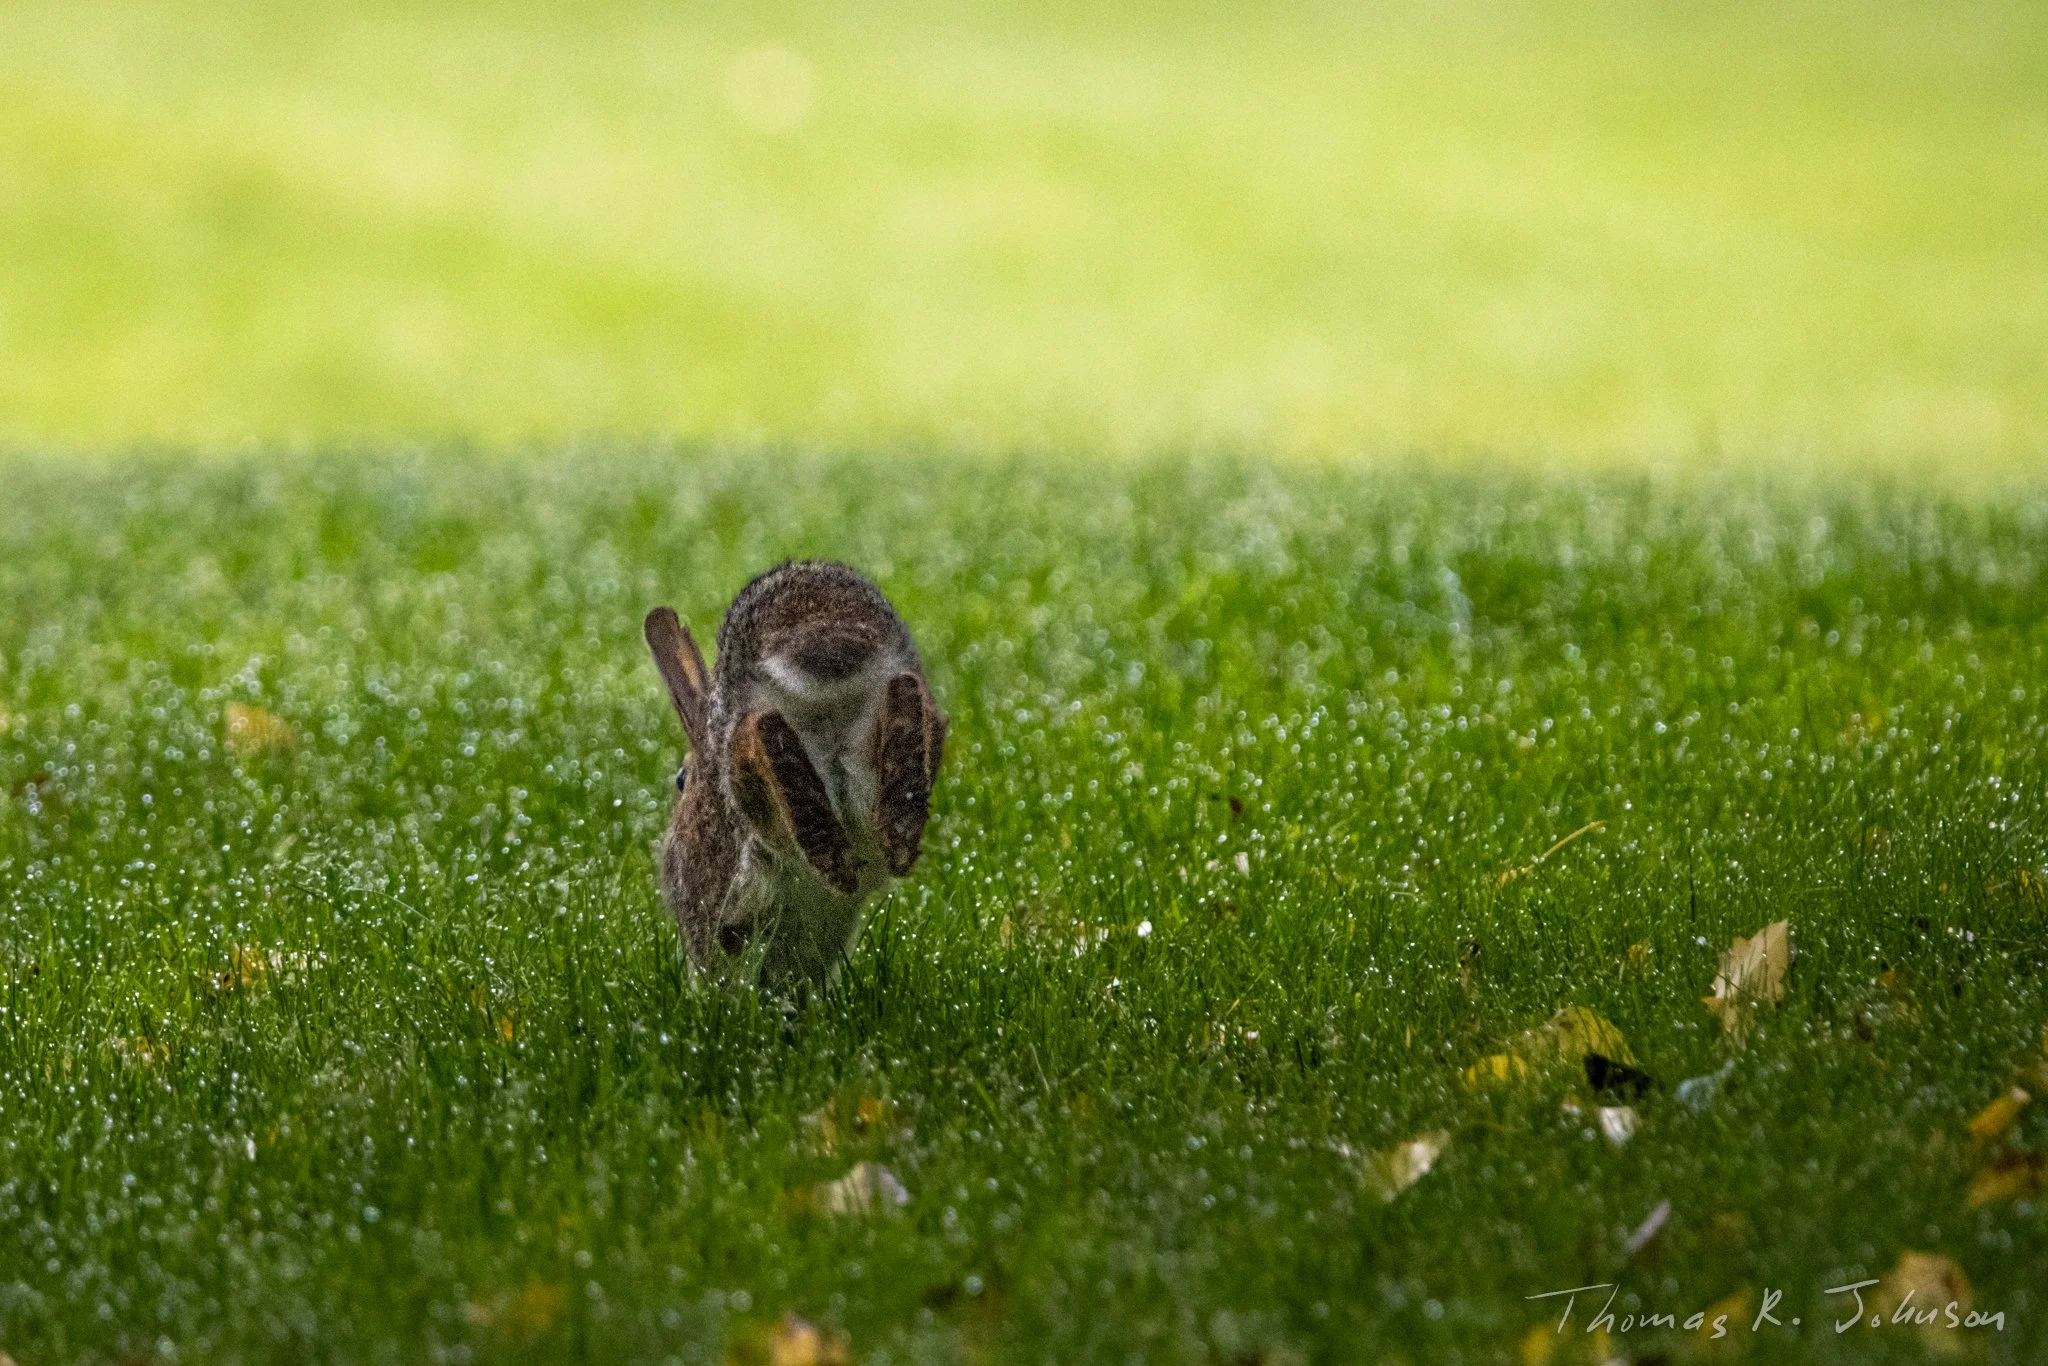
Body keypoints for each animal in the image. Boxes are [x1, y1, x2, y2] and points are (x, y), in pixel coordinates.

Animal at [643, 560, 947, 992]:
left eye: (680, 779)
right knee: (907, 694)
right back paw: (895, 838)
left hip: (751, 800)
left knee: (760, 737)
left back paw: (834, 858)